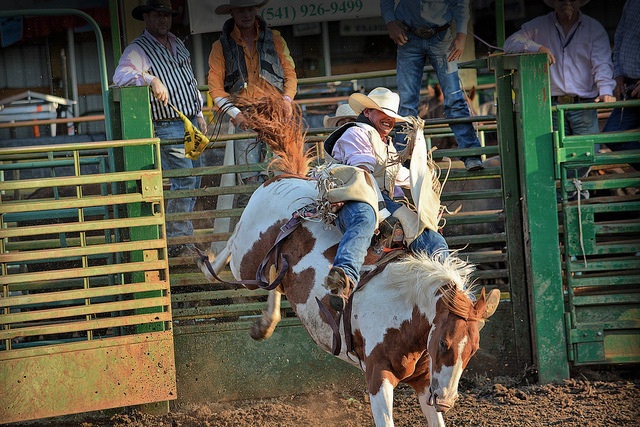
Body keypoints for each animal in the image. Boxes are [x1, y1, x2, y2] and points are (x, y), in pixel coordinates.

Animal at [196, 93, 500, 427]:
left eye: (473, 349)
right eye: (444, 342)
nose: (446, 400)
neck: (404, 307)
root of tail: (287, 177)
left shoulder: (423, 383)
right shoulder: (377, 376)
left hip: (272, 262)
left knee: (275, 279)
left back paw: (265, 324)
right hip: (247, 255)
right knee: (232, 249)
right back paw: (206, 261)